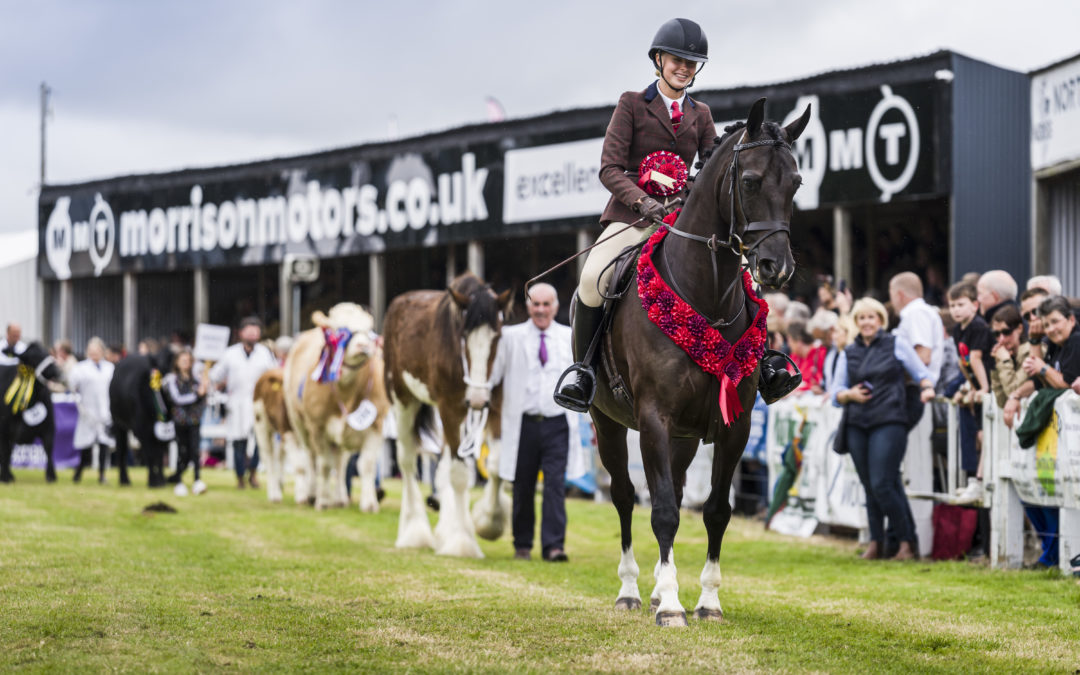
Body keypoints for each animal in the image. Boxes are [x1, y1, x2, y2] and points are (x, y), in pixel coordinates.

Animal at [255, 371, 315, 503]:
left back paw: (280, 483)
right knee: (269, 457)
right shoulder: (288, 432)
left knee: (280, 455)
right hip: (261, 424)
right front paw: (302, 496)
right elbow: (300, 466)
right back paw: (274, 494)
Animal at [282, 302, 388, 507]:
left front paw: (369, 504)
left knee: (340, 464)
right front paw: (322, 501)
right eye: (340, 330)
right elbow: (324, 464)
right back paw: (311, 494)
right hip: (299, 423)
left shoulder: (376, 423)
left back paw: (340, 498)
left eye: (368, 330)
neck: (346, 392)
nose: (363, 346)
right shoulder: (317, 426)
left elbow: (367, 464)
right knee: (311, 459)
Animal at [382, 270, 511, 557]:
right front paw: (463, 541)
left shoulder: (495, 405)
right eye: (463, 336)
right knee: (407, 460)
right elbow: (460, 475)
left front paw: (489, 521)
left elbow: (495, 464)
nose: (477, 399)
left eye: (496, 337)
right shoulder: (450, 408)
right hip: (403, 401)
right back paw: (414, 532)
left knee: (443, 464)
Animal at [587, 98, 807, 626]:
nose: (777, 269)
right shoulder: (654, 418)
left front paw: (707, 601)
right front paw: (670, 605)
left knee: (680, 491)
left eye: (796, 183)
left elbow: (715, 511)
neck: (706, 294)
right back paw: (631, 590)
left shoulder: (735, 424)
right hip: (608, 421)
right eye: (750, 181)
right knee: (624, 496)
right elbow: (662, 509)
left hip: (687, 437)